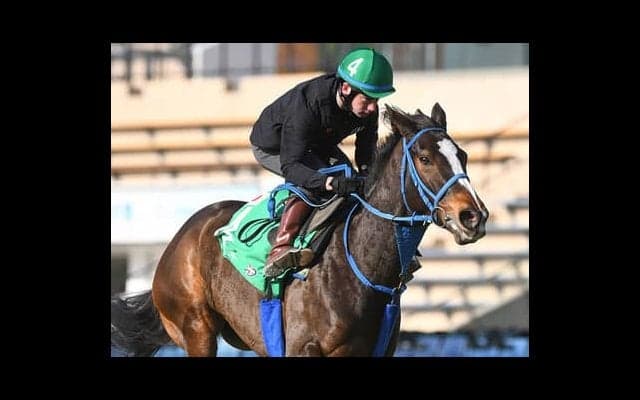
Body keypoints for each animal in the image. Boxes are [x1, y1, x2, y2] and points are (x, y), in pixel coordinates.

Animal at [111, 103, 489, 357]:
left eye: (463, 156)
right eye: (424, 159)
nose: (473, 216)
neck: (360, 265)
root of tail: (179, 240)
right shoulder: (304, 348)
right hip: (196, 328)